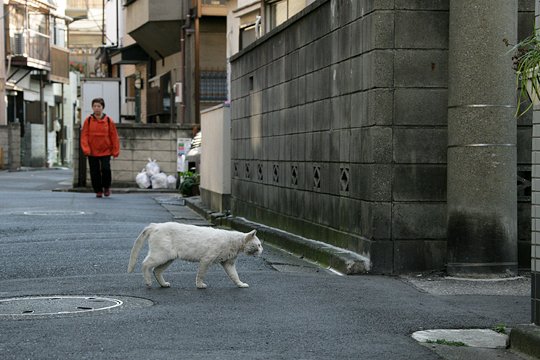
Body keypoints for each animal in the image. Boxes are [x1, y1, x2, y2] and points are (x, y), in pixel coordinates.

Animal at [126, 222, 262, 290]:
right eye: (259, 245)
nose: (262, 250)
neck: (235, 243)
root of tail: (155, 225)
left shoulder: (228, 263)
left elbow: (234, 275)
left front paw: (240, 284)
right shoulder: (206, 260)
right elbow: (201, 274)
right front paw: (199, 285)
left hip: (168, 258)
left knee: (156, 270)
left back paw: (163, 284)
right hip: (161, 255)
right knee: (145, 264)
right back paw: (148, 282)